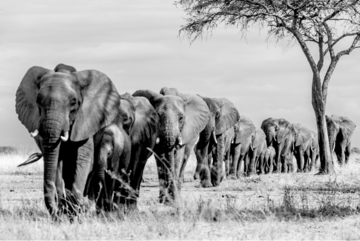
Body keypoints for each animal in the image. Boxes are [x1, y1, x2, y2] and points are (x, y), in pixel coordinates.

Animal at [15, 64, 120, 218]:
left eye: (73, 102)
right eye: (38, 101)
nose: (55, 214)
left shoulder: (85, 122)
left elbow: (82, 159)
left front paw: (77, 209)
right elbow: (56, 161)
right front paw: (65, 209)